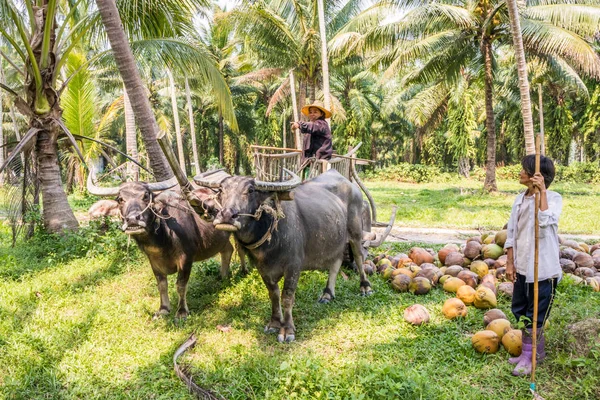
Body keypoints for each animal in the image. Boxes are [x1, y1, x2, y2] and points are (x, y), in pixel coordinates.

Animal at [86, 175, 241, 318]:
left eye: (146, 196)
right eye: (120, 199)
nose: (132, 220)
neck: (163, 240)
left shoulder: (186, 258)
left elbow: (180, 284)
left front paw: (182, 311)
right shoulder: (153, 260)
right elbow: (161, 285)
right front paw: (163, 309)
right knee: (227, 250)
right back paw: (223, 277)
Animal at [199, 170, 370, 342]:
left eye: (251, 190)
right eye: (221, 190)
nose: (227, 215)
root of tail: (350, 184)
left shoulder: (294, 267)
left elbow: (287, 297)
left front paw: (287, 329)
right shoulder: (263, 269)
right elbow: (273, 295)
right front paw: (274, 323)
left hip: (355, 232)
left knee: (359, 257)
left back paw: (365, 287)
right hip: (335, 240)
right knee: (336, 262)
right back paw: (327, 294)